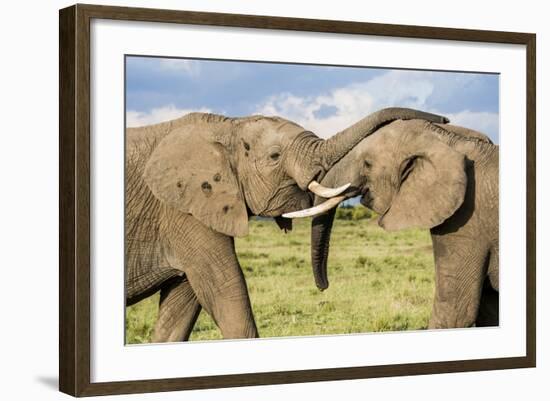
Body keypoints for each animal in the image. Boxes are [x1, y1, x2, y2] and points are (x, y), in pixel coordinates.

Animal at [124, 107, 448, 340]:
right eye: (275, 156)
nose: (444, 119)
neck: (227, 125)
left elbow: (183, 306)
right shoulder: (183, 211)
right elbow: (227, 291)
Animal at [286, 116, 502, 328]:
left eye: (367, 164)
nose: (323, 287)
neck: (448, 139)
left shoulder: (468, 221)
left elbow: (455, 311)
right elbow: (489, 310)